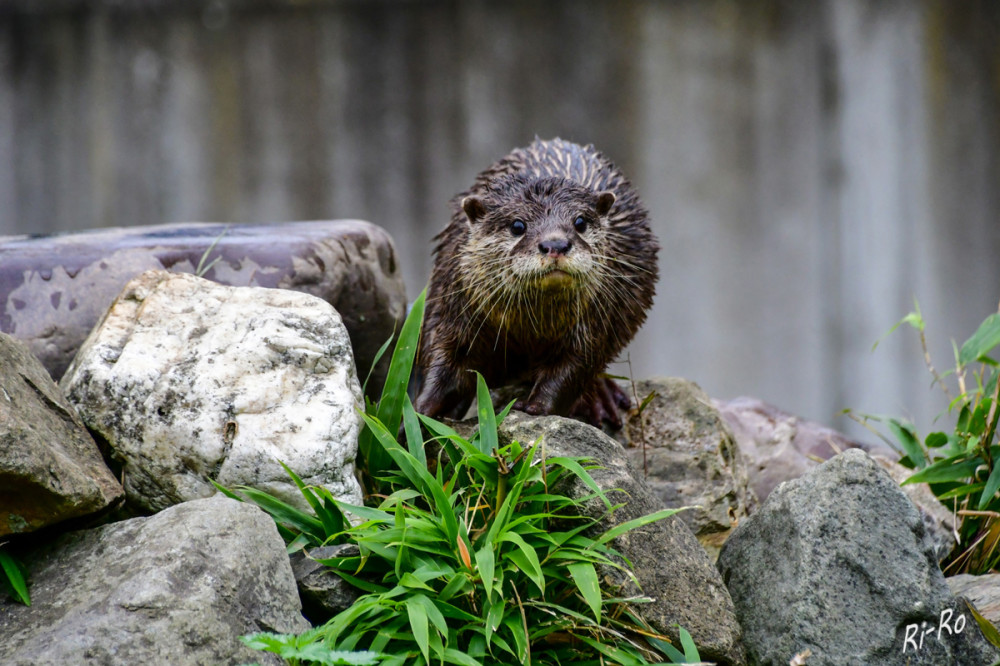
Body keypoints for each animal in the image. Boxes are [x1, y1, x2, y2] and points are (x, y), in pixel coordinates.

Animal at [413, 138, 658, 427]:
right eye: (518, 225)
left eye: (580, 222)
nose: (556, 244)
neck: (530, 326)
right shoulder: (454, 305)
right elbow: (445, 362)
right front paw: (417, 411)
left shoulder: (597, 321)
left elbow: (573, 368)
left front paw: (535, 406)